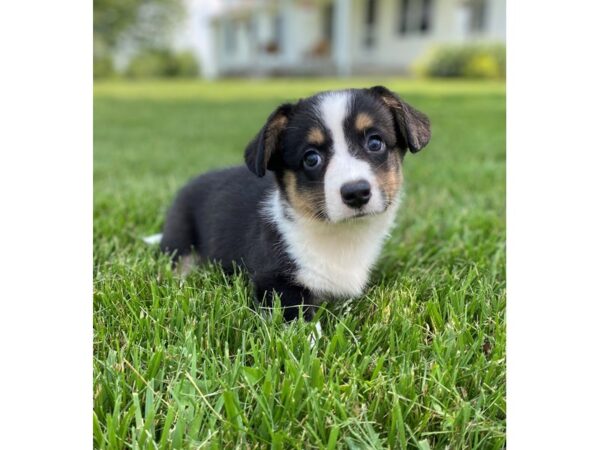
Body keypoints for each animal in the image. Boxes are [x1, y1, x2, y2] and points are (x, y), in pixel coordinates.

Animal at [159, 86, 432, 322]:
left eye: (375, 143)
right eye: (311, 158)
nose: (356, 193)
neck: (340, 234)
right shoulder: (274, 282)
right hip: (179, 241)